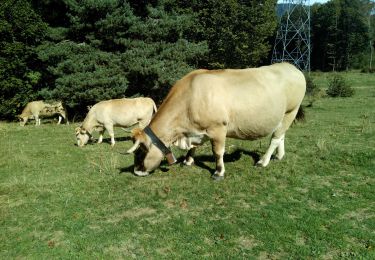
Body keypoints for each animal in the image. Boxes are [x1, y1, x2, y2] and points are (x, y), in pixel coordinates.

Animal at [128, 63, 306, 181]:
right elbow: (193, 147)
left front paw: (219, 172)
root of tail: (290, 66)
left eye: (141, 152)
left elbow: (218, 152)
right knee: (281, 134)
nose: (136, 171)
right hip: (283, 115)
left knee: (275, 138)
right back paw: (279, 156)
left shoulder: (218, 128)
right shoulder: (196, 130)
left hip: (291, 110)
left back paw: (263, 161)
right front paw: (188, 161)